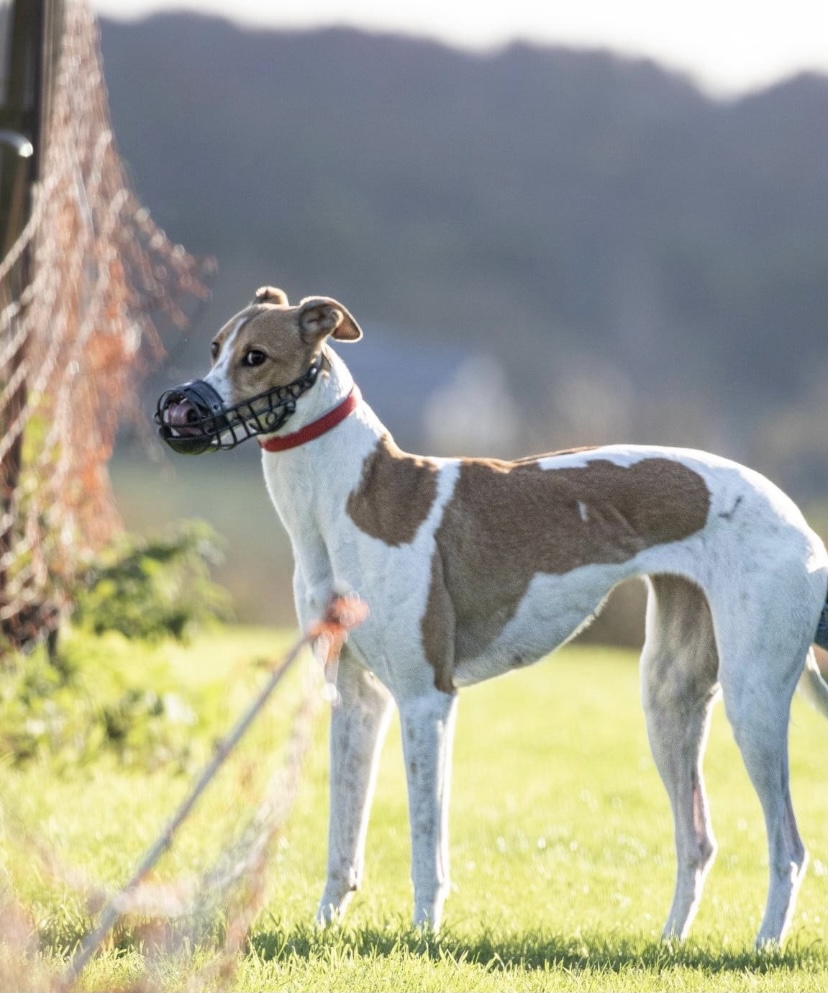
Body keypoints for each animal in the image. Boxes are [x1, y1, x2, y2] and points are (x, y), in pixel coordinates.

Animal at [157, 286, 828, 947]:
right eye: (215, 348)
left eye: (256, 358)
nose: (179, 408)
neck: (351, 498)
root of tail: (795, 517)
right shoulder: (356, 698)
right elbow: (341, 841)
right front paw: (325, 926)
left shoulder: (426, 700)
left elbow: (426, 843)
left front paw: (423, 936)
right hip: (669, 697)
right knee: (698, 840)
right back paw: (669, 943)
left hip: (754, 700)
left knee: (789, 847)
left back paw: (764, 945)